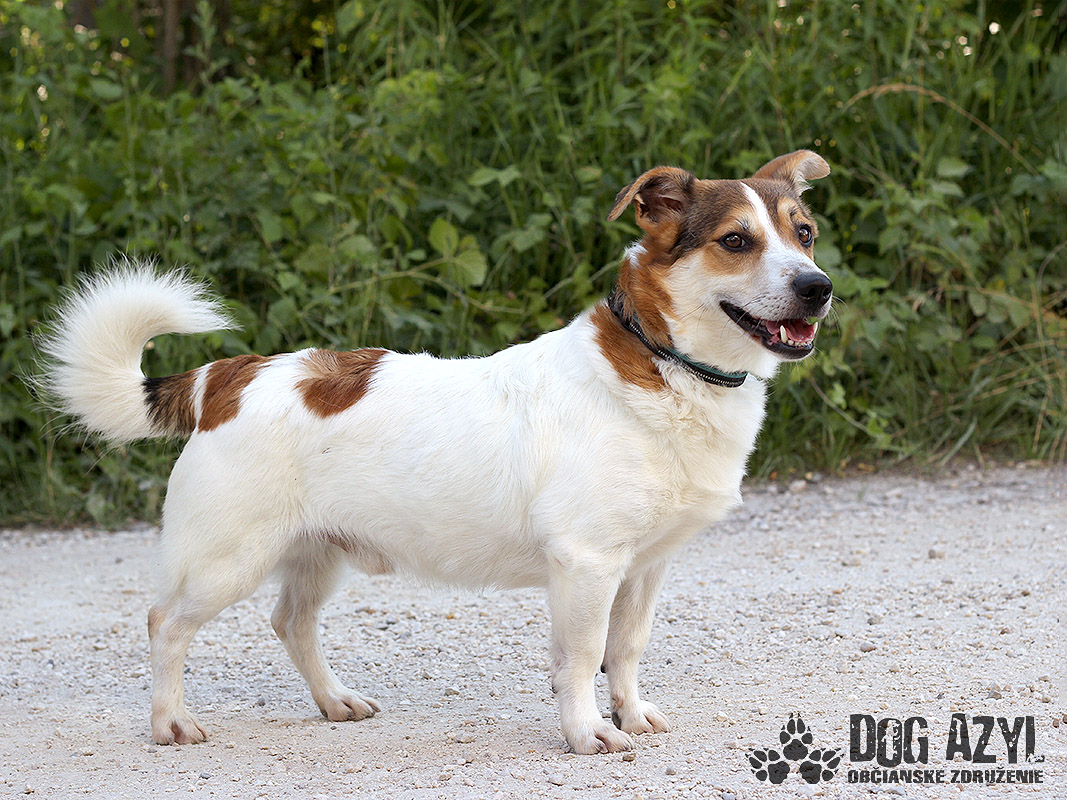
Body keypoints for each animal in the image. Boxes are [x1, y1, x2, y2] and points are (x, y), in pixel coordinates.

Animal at [41, 150, 832, 754]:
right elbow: (581, 659)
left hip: (315, 552)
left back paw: (334, 700)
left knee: (291, 623)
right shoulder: (586, 565)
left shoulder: (644, 567)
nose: (818, 287)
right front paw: (586, 732)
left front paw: (630, 713)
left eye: (805, 233)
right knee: (165, 625)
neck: (665, 363)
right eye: (735, 241)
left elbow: (626, 649)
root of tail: (228, 376)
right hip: (224, 562)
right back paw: (170, 720)